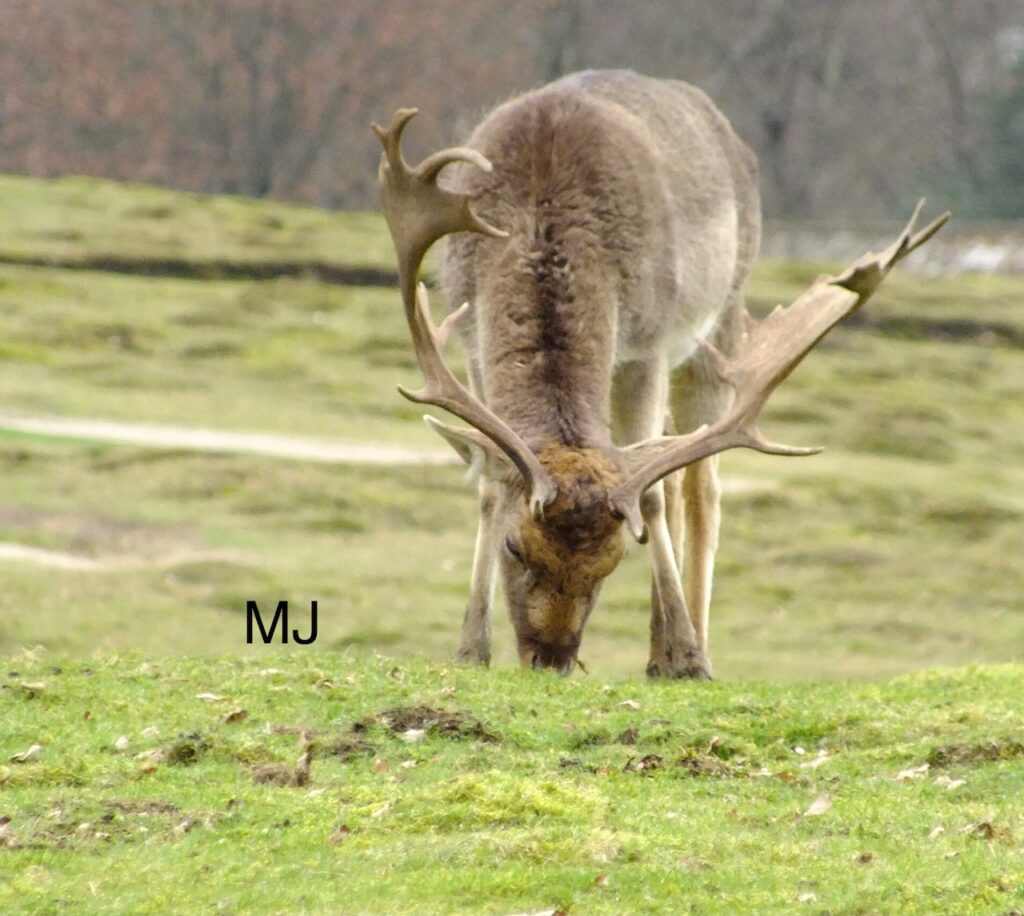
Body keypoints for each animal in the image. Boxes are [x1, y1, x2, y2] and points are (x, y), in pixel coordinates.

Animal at [372, 69, 946, 679]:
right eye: (514, 546)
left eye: (613, 560)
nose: (551, 660)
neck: (538, 215)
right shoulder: (473, 340)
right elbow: (486, 479)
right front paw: (469, 649)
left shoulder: (646, 344)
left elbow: (650, 501)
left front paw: (691, 654)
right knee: (668, 470)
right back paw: (657, 654)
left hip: (717, 326)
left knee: (698, 489)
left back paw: (686, 645)